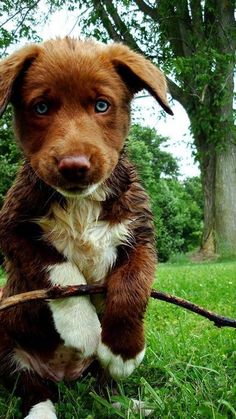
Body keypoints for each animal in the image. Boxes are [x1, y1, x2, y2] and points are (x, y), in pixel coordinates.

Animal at [0, 37, 172, 418]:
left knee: (100, 386)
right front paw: (81, 327)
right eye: (42, 107)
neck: (82, 201)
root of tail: (64, 375)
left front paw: (123, 350)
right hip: (7, 348)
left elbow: (133, 283)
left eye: (101, 105)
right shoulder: (12, 227)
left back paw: (123, 402)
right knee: (31, 388)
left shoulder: (141, 234)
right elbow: (58, 268)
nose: (74, 165)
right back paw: (42, 411)